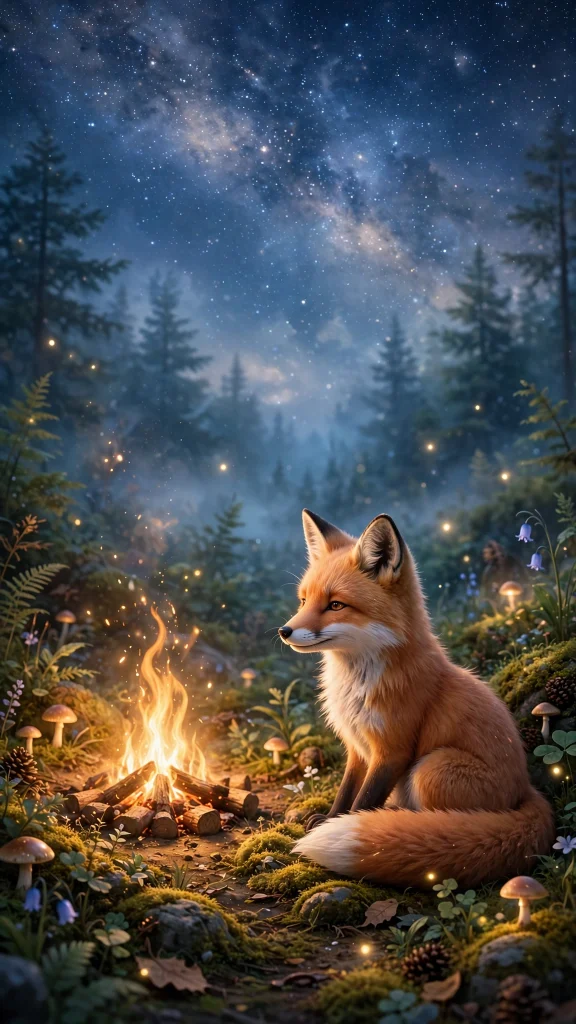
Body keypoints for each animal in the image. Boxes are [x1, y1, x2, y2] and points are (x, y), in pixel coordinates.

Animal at [277, 509, 554, 887]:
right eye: (304, 600)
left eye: (335, 605)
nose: (284, 631)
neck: (357, 685)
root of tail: (527, 788)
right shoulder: (356, 747)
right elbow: (346, 792)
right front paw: (332, 819)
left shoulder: (392, 750)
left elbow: (363, 800)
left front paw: (352, 824)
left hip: (430, 769)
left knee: (441, 824)